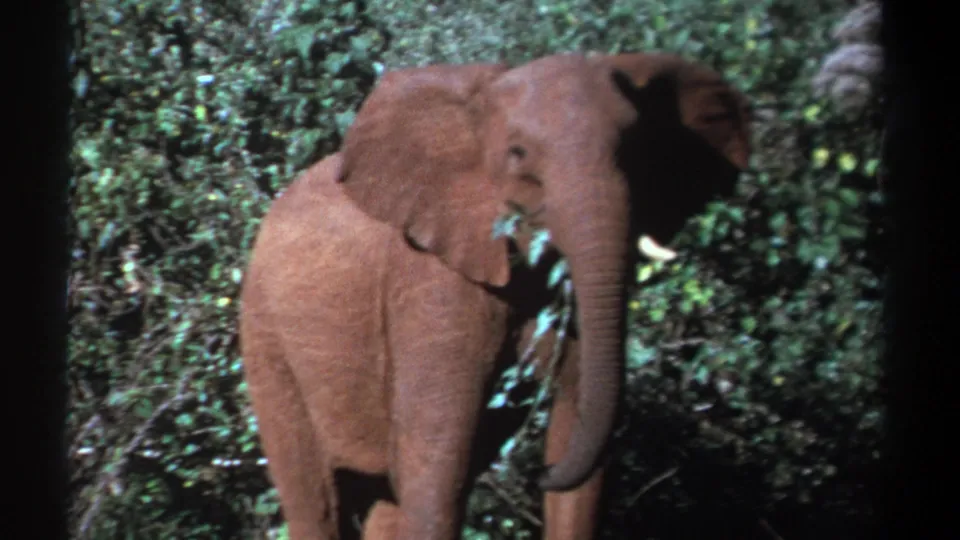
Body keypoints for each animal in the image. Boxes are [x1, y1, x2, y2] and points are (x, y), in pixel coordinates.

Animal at [239, 51, 752, 540]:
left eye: (636, 152)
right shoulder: (433, 276)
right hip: (265, 335)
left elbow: (580, 435)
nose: (540, 473)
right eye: (518, 154)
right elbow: (437, 461)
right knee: (316, 498)